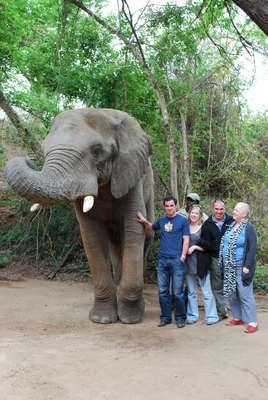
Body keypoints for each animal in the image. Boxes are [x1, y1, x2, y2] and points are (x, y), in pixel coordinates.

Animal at [4, 108, 154, 324]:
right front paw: (101, 319)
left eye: (97, 150)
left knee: (145, 237)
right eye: (44, 148)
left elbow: (134, 231)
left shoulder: (130, 175)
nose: (28, 159)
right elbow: (91, 236)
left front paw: (131, 319)